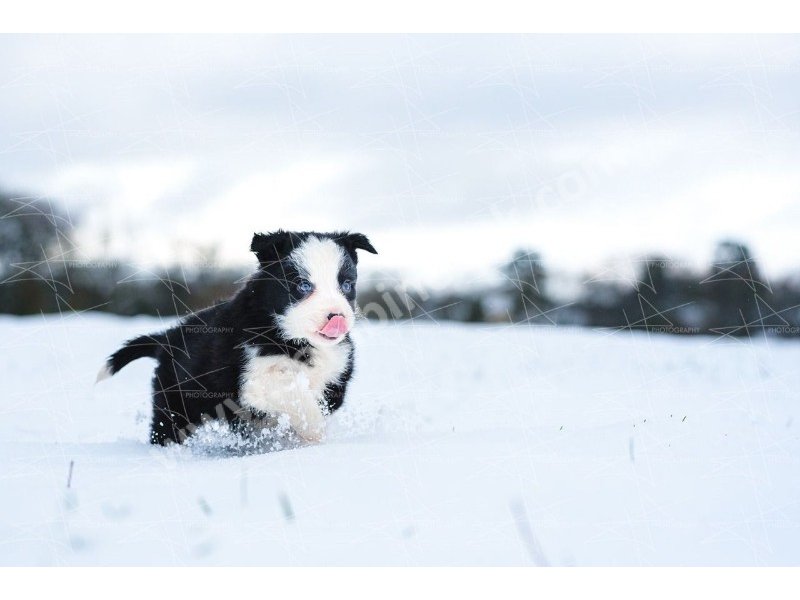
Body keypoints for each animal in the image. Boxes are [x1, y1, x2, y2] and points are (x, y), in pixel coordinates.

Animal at [97, 230, 378, 446]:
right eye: (303, 285)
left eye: (346, 284)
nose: (337, 317)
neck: (292, 338)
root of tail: (166, 337)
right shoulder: (254, 381)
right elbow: (296, 395)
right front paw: (313, 432)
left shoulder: (337, 371)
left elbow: (327, 400)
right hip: (175, 404)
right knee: (165, 430)